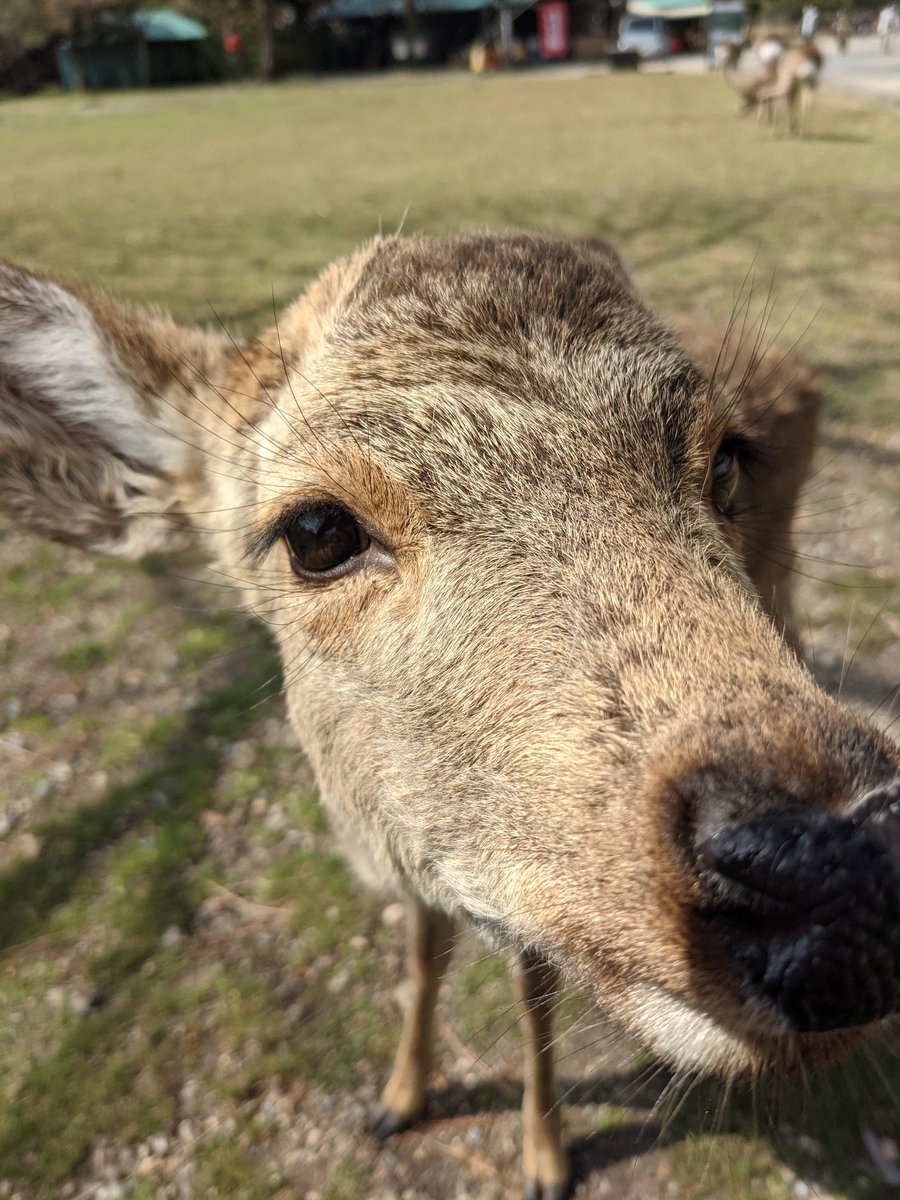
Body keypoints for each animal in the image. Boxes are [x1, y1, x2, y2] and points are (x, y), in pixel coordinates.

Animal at [1, 233, 898, 1200]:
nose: (845, 860)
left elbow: (531, 998)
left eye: (727, 458)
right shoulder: (413, 855)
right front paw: (399, 1098)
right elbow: (421, 959)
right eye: (315, 530)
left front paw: (545, 1160)